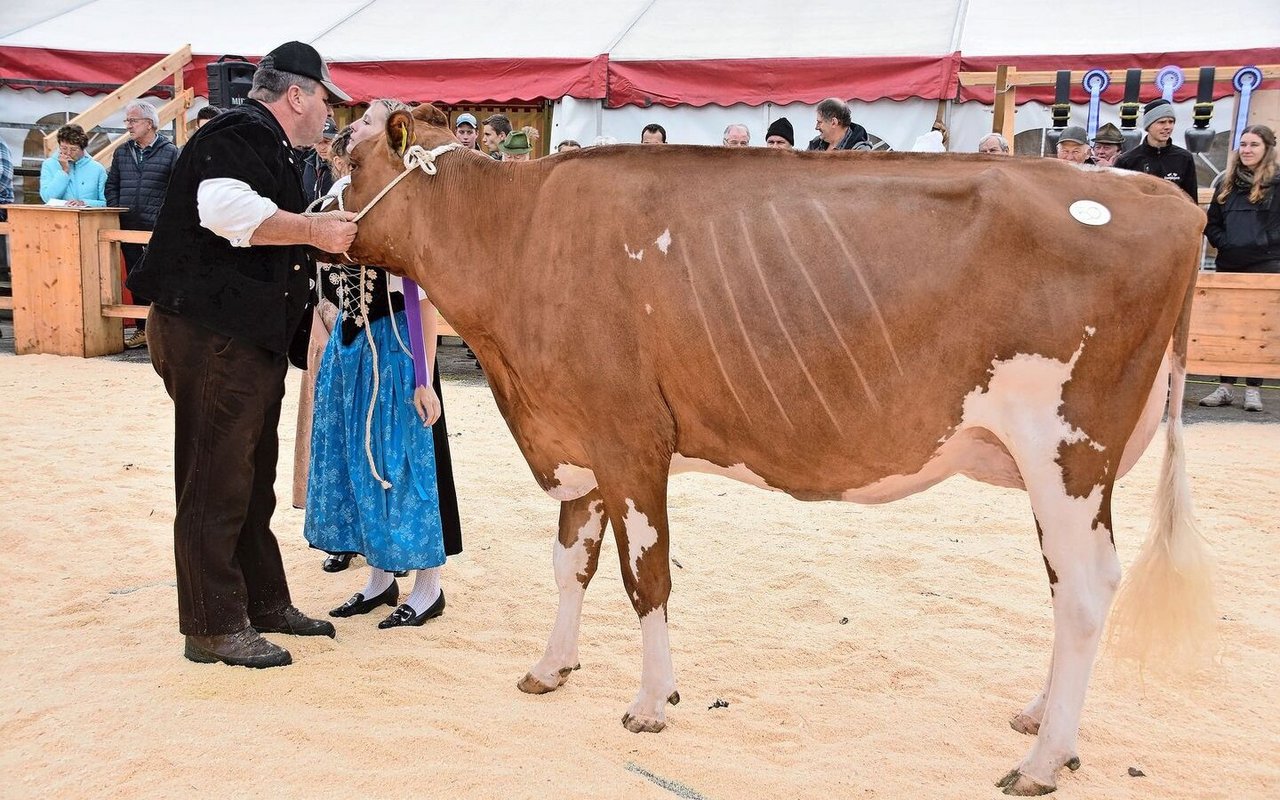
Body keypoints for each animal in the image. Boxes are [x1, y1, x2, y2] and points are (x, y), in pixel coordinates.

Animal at [345, 104, 1213, 793]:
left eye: (348, 161)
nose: (320, 212)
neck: (518, 237)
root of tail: (1160, 195)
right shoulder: (577, 443)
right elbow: (570, 567)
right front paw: (550, 669)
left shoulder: (631, 441)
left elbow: (645, 580)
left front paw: (651, 703)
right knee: (1068, 589)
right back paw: (1038, 721)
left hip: (1067, 448)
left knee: (1087, 589)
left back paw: (1043, 760)